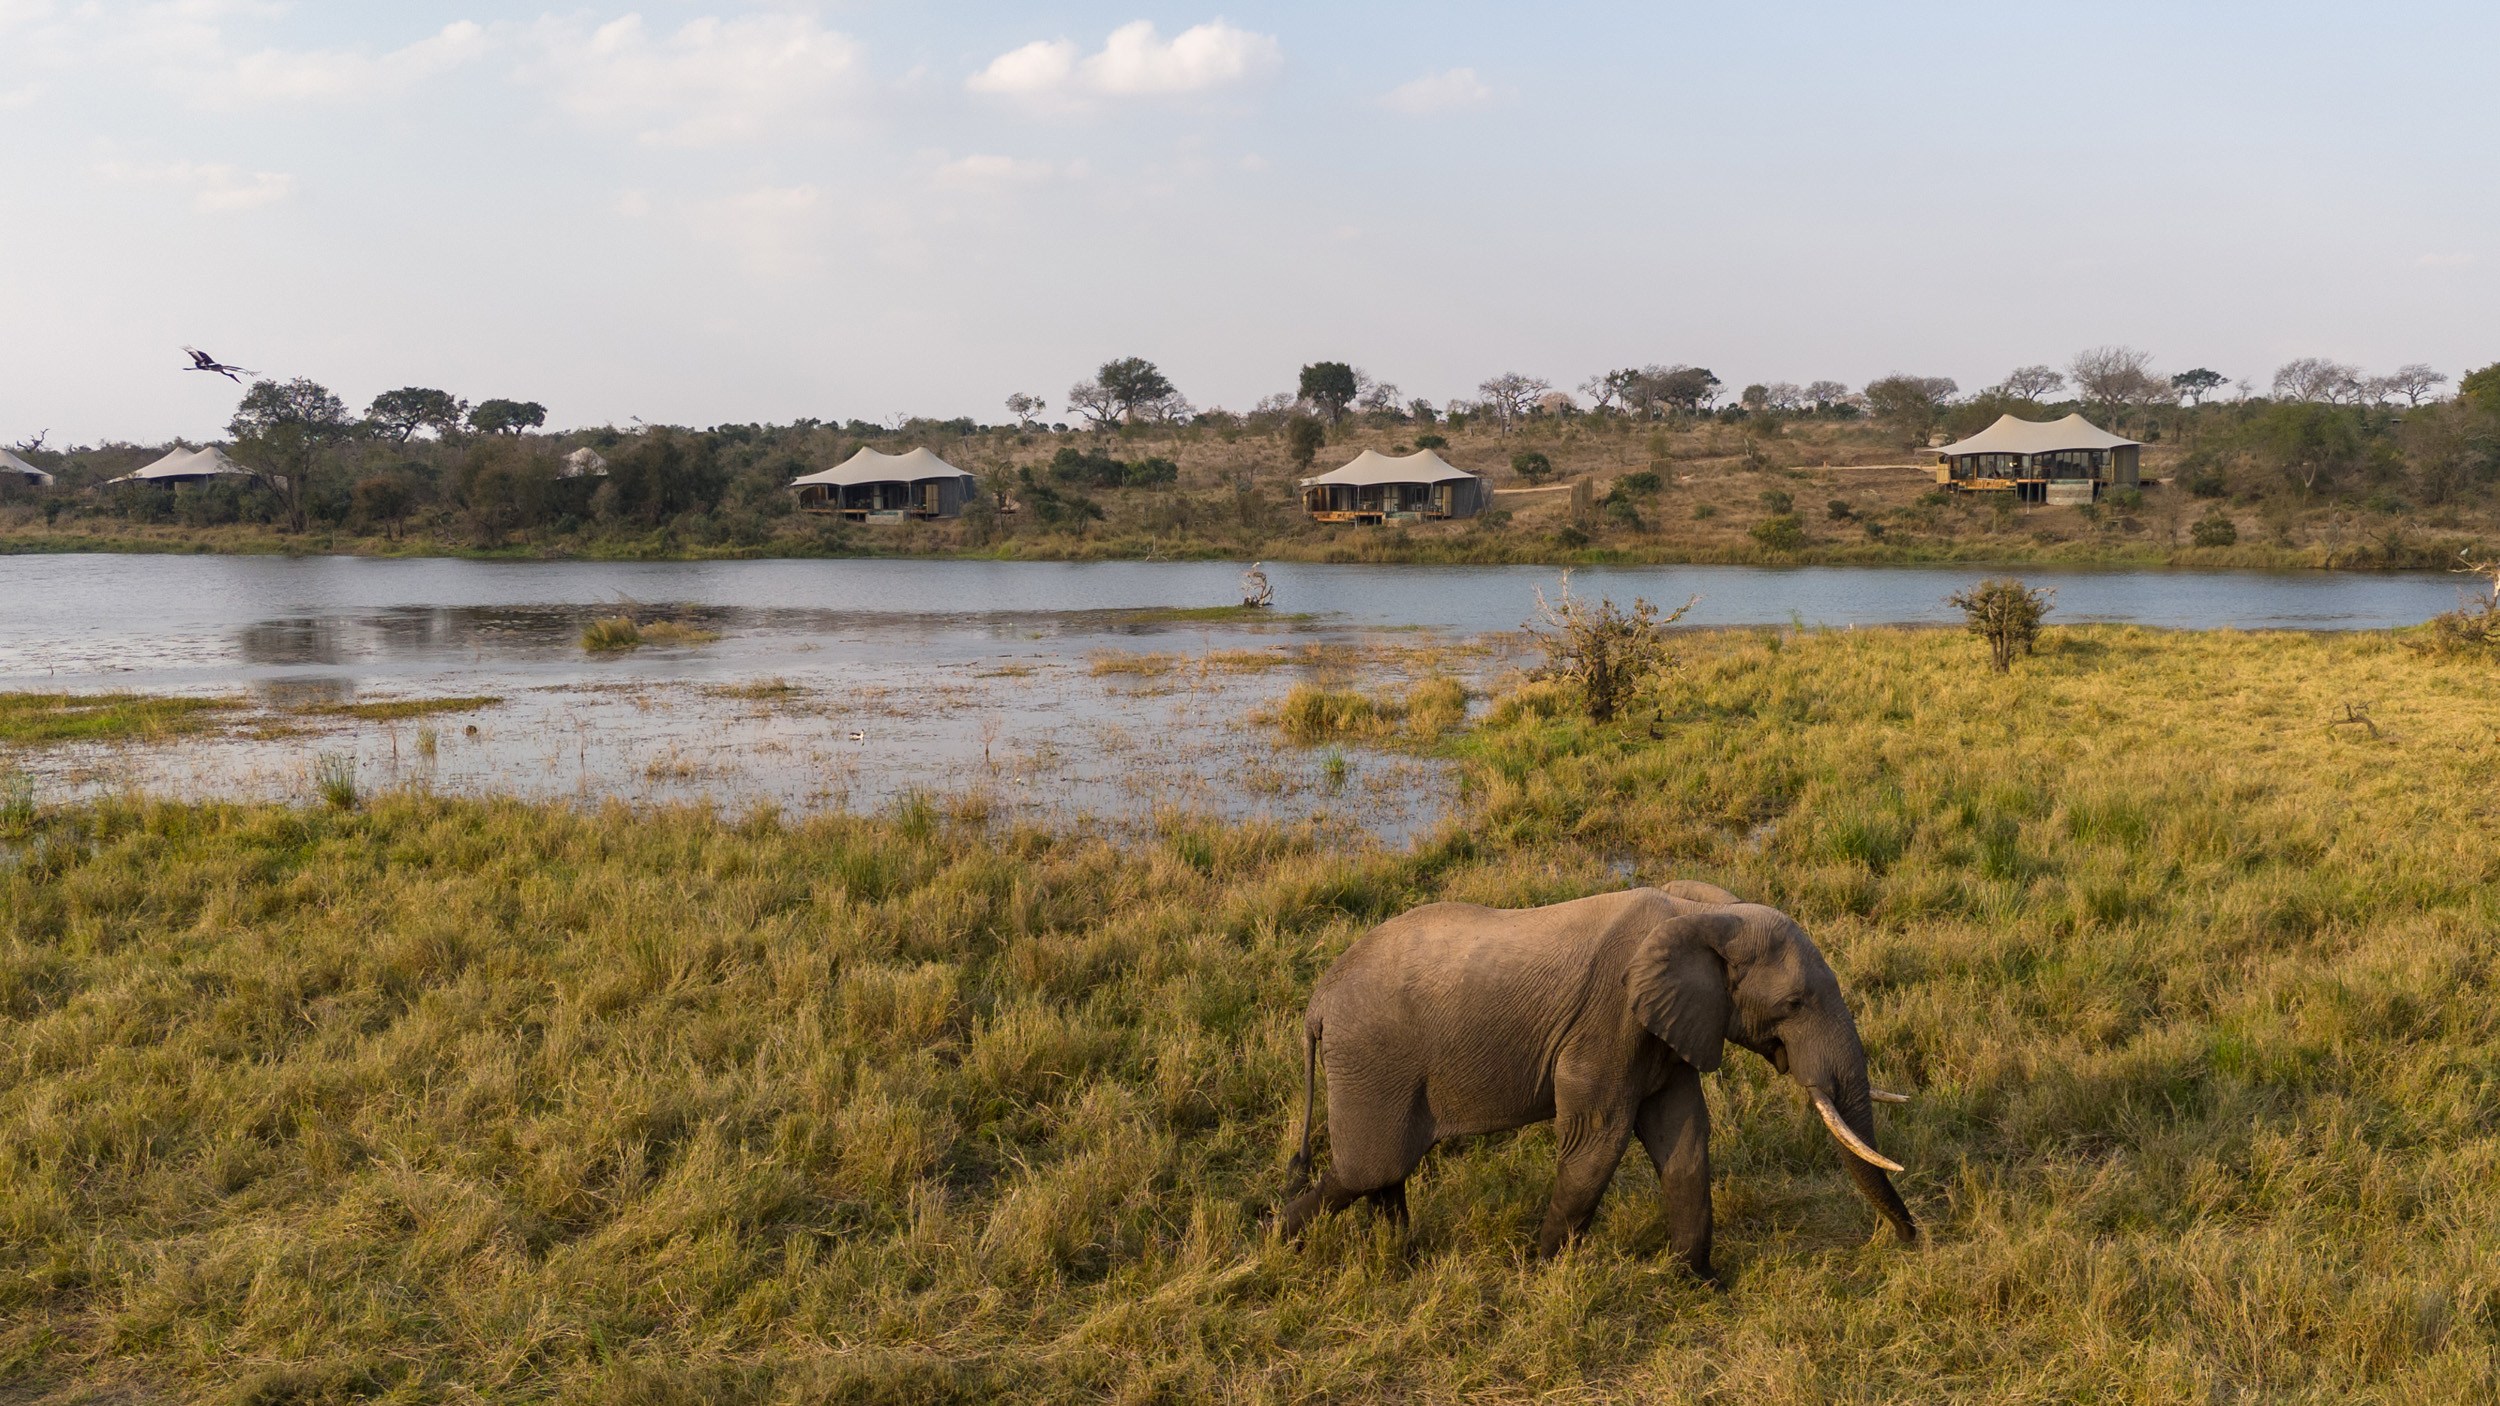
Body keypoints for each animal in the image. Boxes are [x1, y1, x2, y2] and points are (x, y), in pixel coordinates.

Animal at [1278, 881, 1915, 1281]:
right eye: (1794, 1003)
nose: (1910, 1242)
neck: (1703, 913)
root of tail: (1316, 1002)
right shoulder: (1609, 1022)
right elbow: (1597, 1143)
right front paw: (1541, 1273)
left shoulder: (1665, 1031)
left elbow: (1684, 1141)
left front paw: (1697, 1282)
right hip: (1372, 1059)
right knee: (1371, 1167)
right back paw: (1282, 1242)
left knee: (1388, 1169)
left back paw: (1399, 1257)